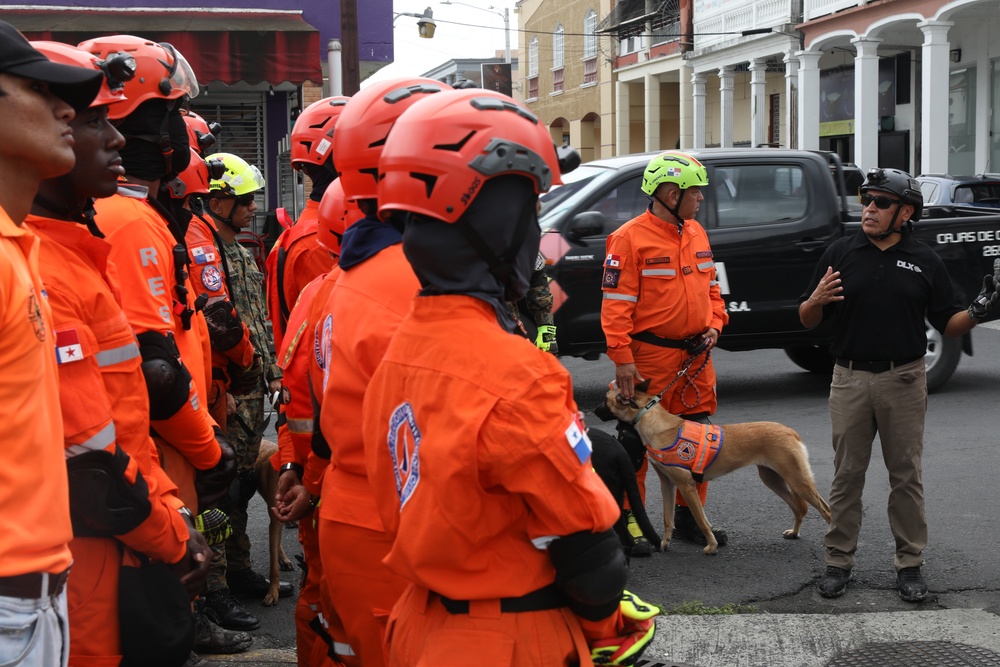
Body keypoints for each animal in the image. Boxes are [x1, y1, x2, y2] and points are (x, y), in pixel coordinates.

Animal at [596, 384, 832, 556]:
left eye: (605, 400)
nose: (594, 411)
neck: (652, 420)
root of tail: (790, 431)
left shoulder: (687, 486)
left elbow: (700, 520)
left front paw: (711, 545)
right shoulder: (667, 484)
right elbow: (668, 519)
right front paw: (664, 543)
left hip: (797, 481)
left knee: (825, 509)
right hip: (773, 479)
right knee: (799, 508)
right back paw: (795, 533)